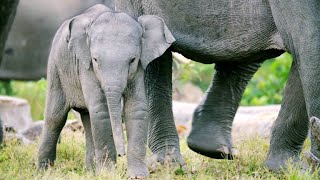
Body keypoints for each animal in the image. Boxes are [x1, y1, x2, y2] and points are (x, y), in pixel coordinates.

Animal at [38, 3, 176, 177]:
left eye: (133, 60)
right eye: (96, 60)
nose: (121, 154)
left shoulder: (138, 69)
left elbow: (136, 108)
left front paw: (137, 176)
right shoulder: (86, 66)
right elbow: (100, 109)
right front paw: (107, 174)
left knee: (87, 119)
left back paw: (90, 172)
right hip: (56, 68)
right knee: (55, 118)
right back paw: (43, 171)